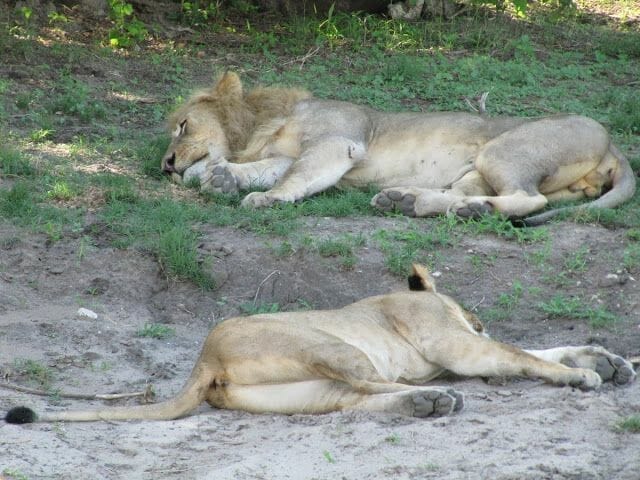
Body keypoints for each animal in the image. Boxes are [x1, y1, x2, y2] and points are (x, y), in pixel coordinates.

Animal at [4, 265, 635, 423]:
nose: (477, 318)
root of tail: (204, 358)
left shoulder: (459, 347)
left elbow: (537, 347)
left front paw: (607, 359)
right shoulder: (453, 344)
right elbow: (522, 354)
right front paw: (585, 373)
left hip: (302, 389)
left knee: (352, 399)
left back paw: (425, 402)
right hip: (331, 346)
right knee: (367, 381)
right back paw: (437, 400)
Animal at [160, 72, 635, 225]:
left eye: (182, 126)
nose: (165, 165)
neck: (262, 123)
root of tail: (615, 144)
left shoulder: (339, 141)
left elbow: (294, 177)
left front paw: (266, 198)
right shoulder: (290, 152)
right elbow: (273, 168)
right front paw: (223, 177)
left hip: (502, 151)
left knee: (529, 199)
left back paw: (465, 210)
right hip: (479, 168)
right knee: (462, 194)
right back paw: (407, 201)